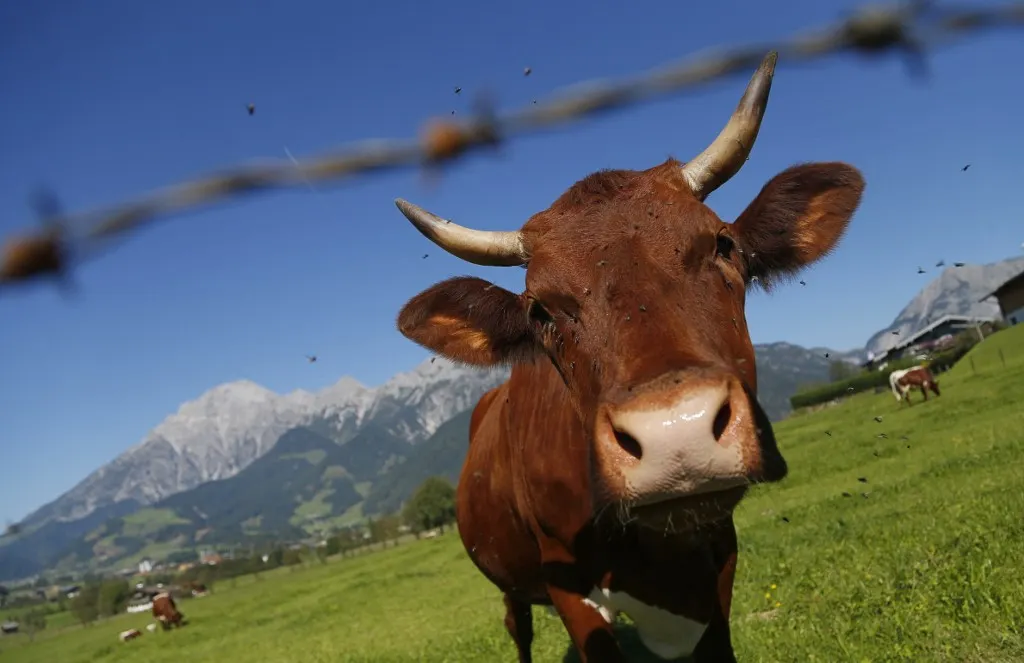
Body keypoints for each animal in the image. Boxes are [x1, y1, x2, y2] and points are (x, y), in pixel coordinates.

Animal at [392, 50, 864, 662]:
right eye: (539, 310)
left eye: (724, 244)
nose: (675, 434)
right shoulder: (568, 584)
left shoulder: (718, 565)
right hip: (511, 585)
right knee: (518, 628)